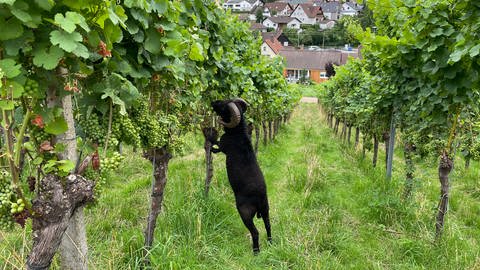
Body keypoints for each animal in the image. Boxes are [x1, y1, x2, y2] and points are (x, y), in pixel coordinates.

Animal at [209, 98, 272, 254]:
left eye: (224, 106)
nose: (213, 101)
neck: (238, 132)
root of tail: (259, 197)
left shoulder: (222, 147)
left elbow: (215, 144)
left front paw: (209, 136)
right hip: (266, 209)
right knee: (268, 225)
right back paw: (270, 243)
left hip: (245, 213)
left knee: (255, 232)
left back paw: (256, 251)